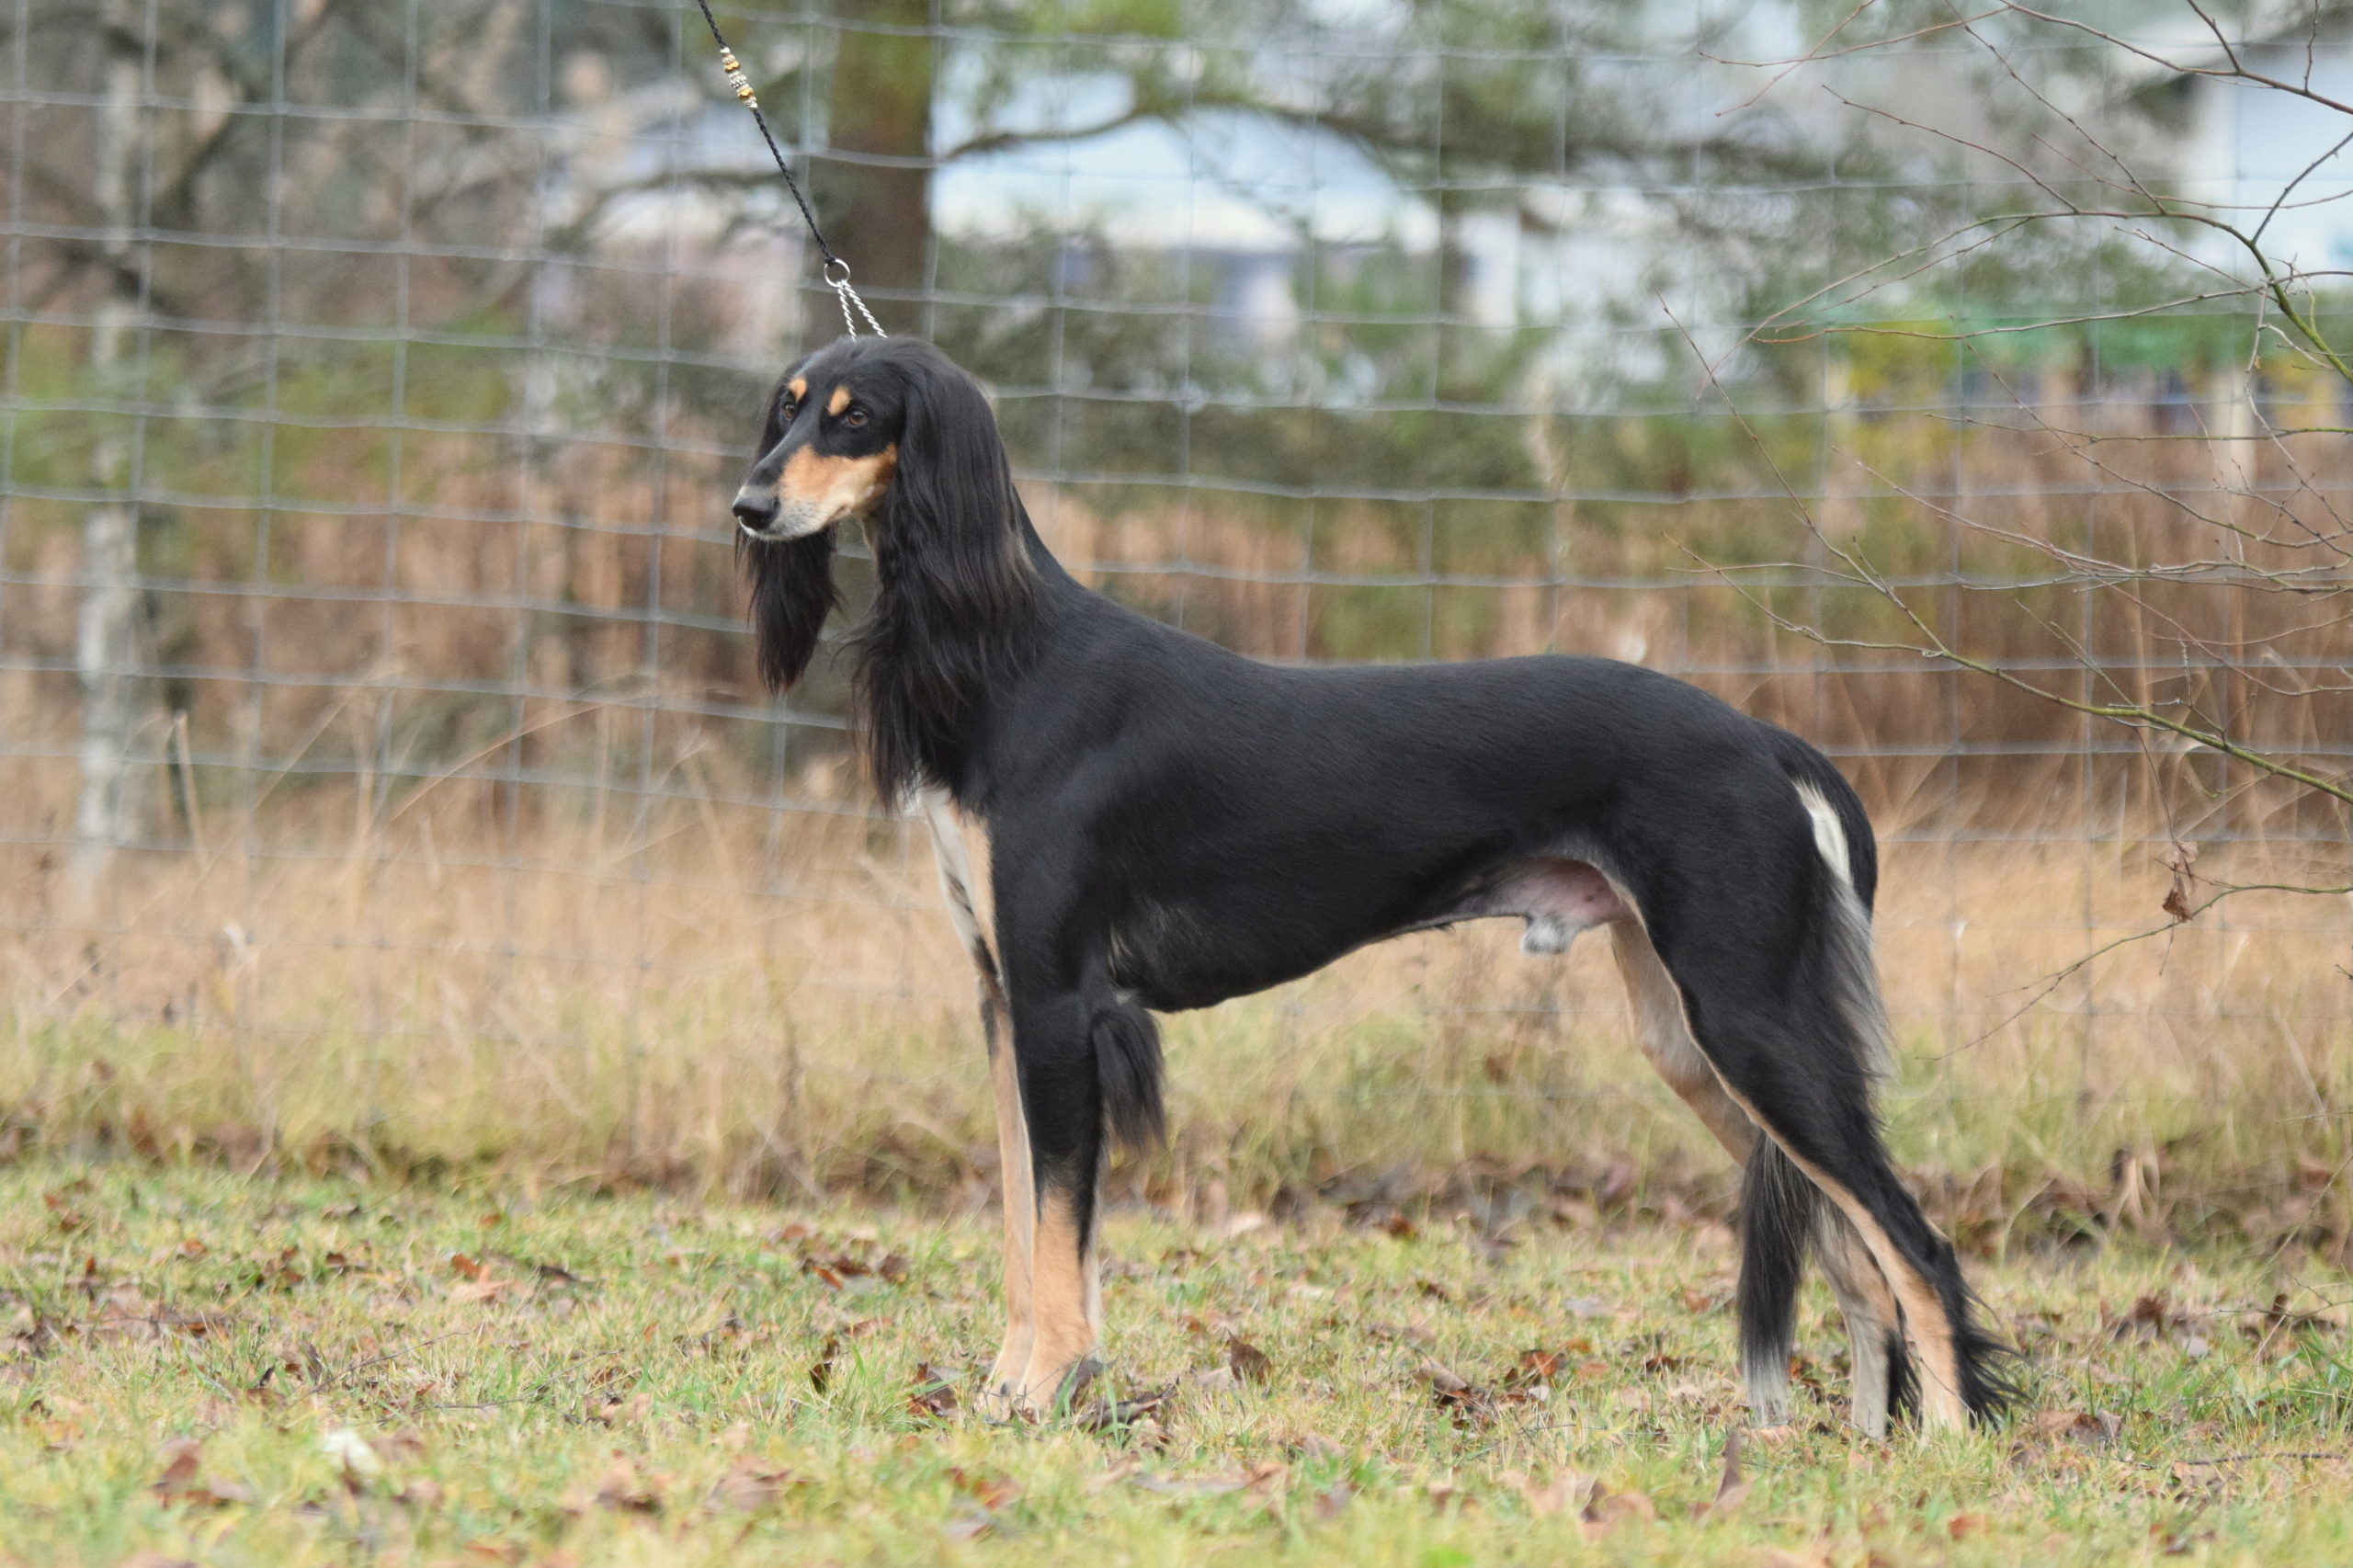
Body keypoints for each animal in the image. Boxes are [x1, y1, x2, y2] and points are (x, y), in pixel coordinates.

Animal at [729, 334, 2008, 1434]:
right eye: (785, 407)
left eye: (857, 417)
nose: (747, 506)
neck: (1013, 659)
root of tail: (1764, 739)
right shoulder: (1002, 998)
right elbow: (1019, 1225)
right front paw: (1010, 1390)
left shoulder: (1055, 1006)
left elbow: (1054, 1234)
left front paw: (1044, 1394)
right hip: (1691, 1040)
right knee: (1853, 1252)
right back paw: (1859, 1444)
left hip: (1747, 1016)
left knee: (1913, 1242)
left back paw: (1943, 1442)